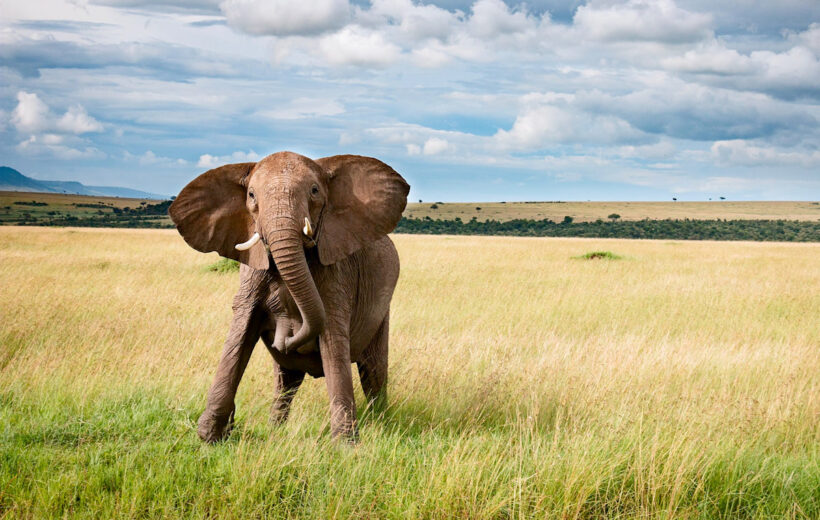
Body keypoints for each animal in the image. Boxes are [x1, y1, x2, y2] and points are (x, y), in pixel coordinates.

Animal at [170, 150, 410, 442]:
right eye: (251, 195)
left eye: (315, 191)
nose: (285, 335)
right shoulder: (252, 271)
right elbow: (240, 333)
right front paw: (209, 437)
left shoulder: (336, 273)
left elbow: (333, 340)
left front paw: (346, 446)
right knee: (287, 379)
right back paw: (275, 429)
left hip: (382, 311)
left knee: (373, 373)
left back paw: (381, 425)